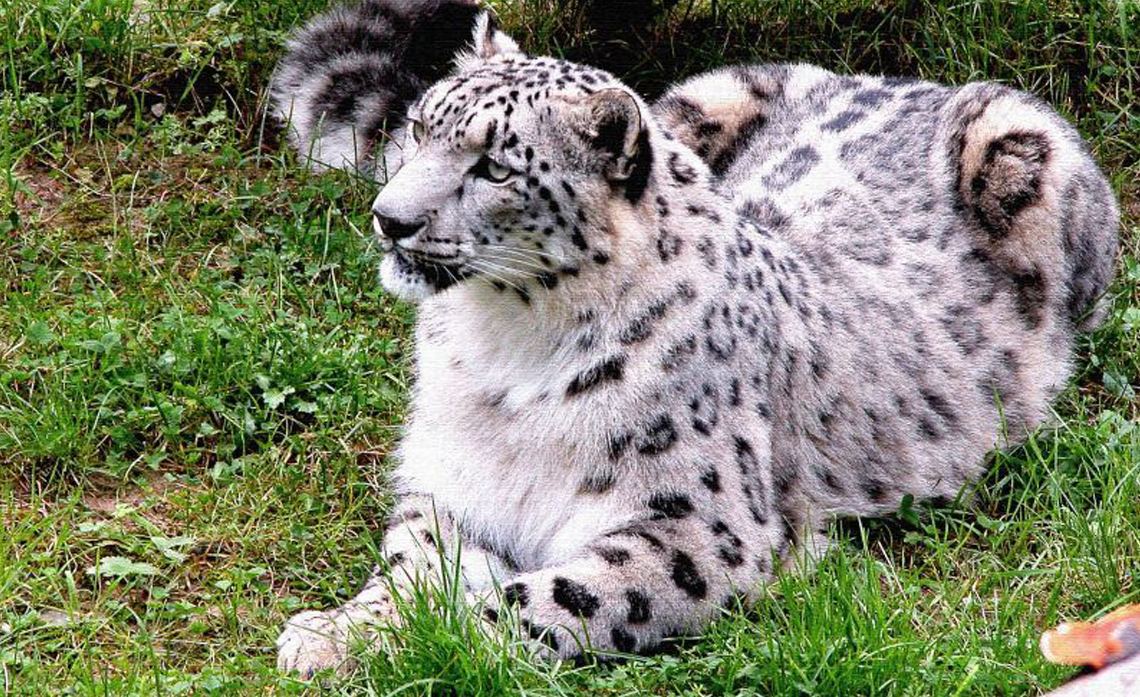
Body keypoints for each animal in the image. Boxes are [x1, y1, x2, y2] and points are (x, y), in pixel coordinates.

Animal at [271, 9, 1117, 675]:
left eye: (496, 168)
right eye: (421, 127)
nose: (389, 218)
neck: (500, 347)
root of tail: (910, 80)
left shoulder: (694, 529)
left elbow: (539, 596)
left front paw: (402, 644)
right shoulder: (456, 486)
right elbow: (412, 565)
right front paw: (336, 634)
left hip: (1026, 154)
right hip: (703, 94)